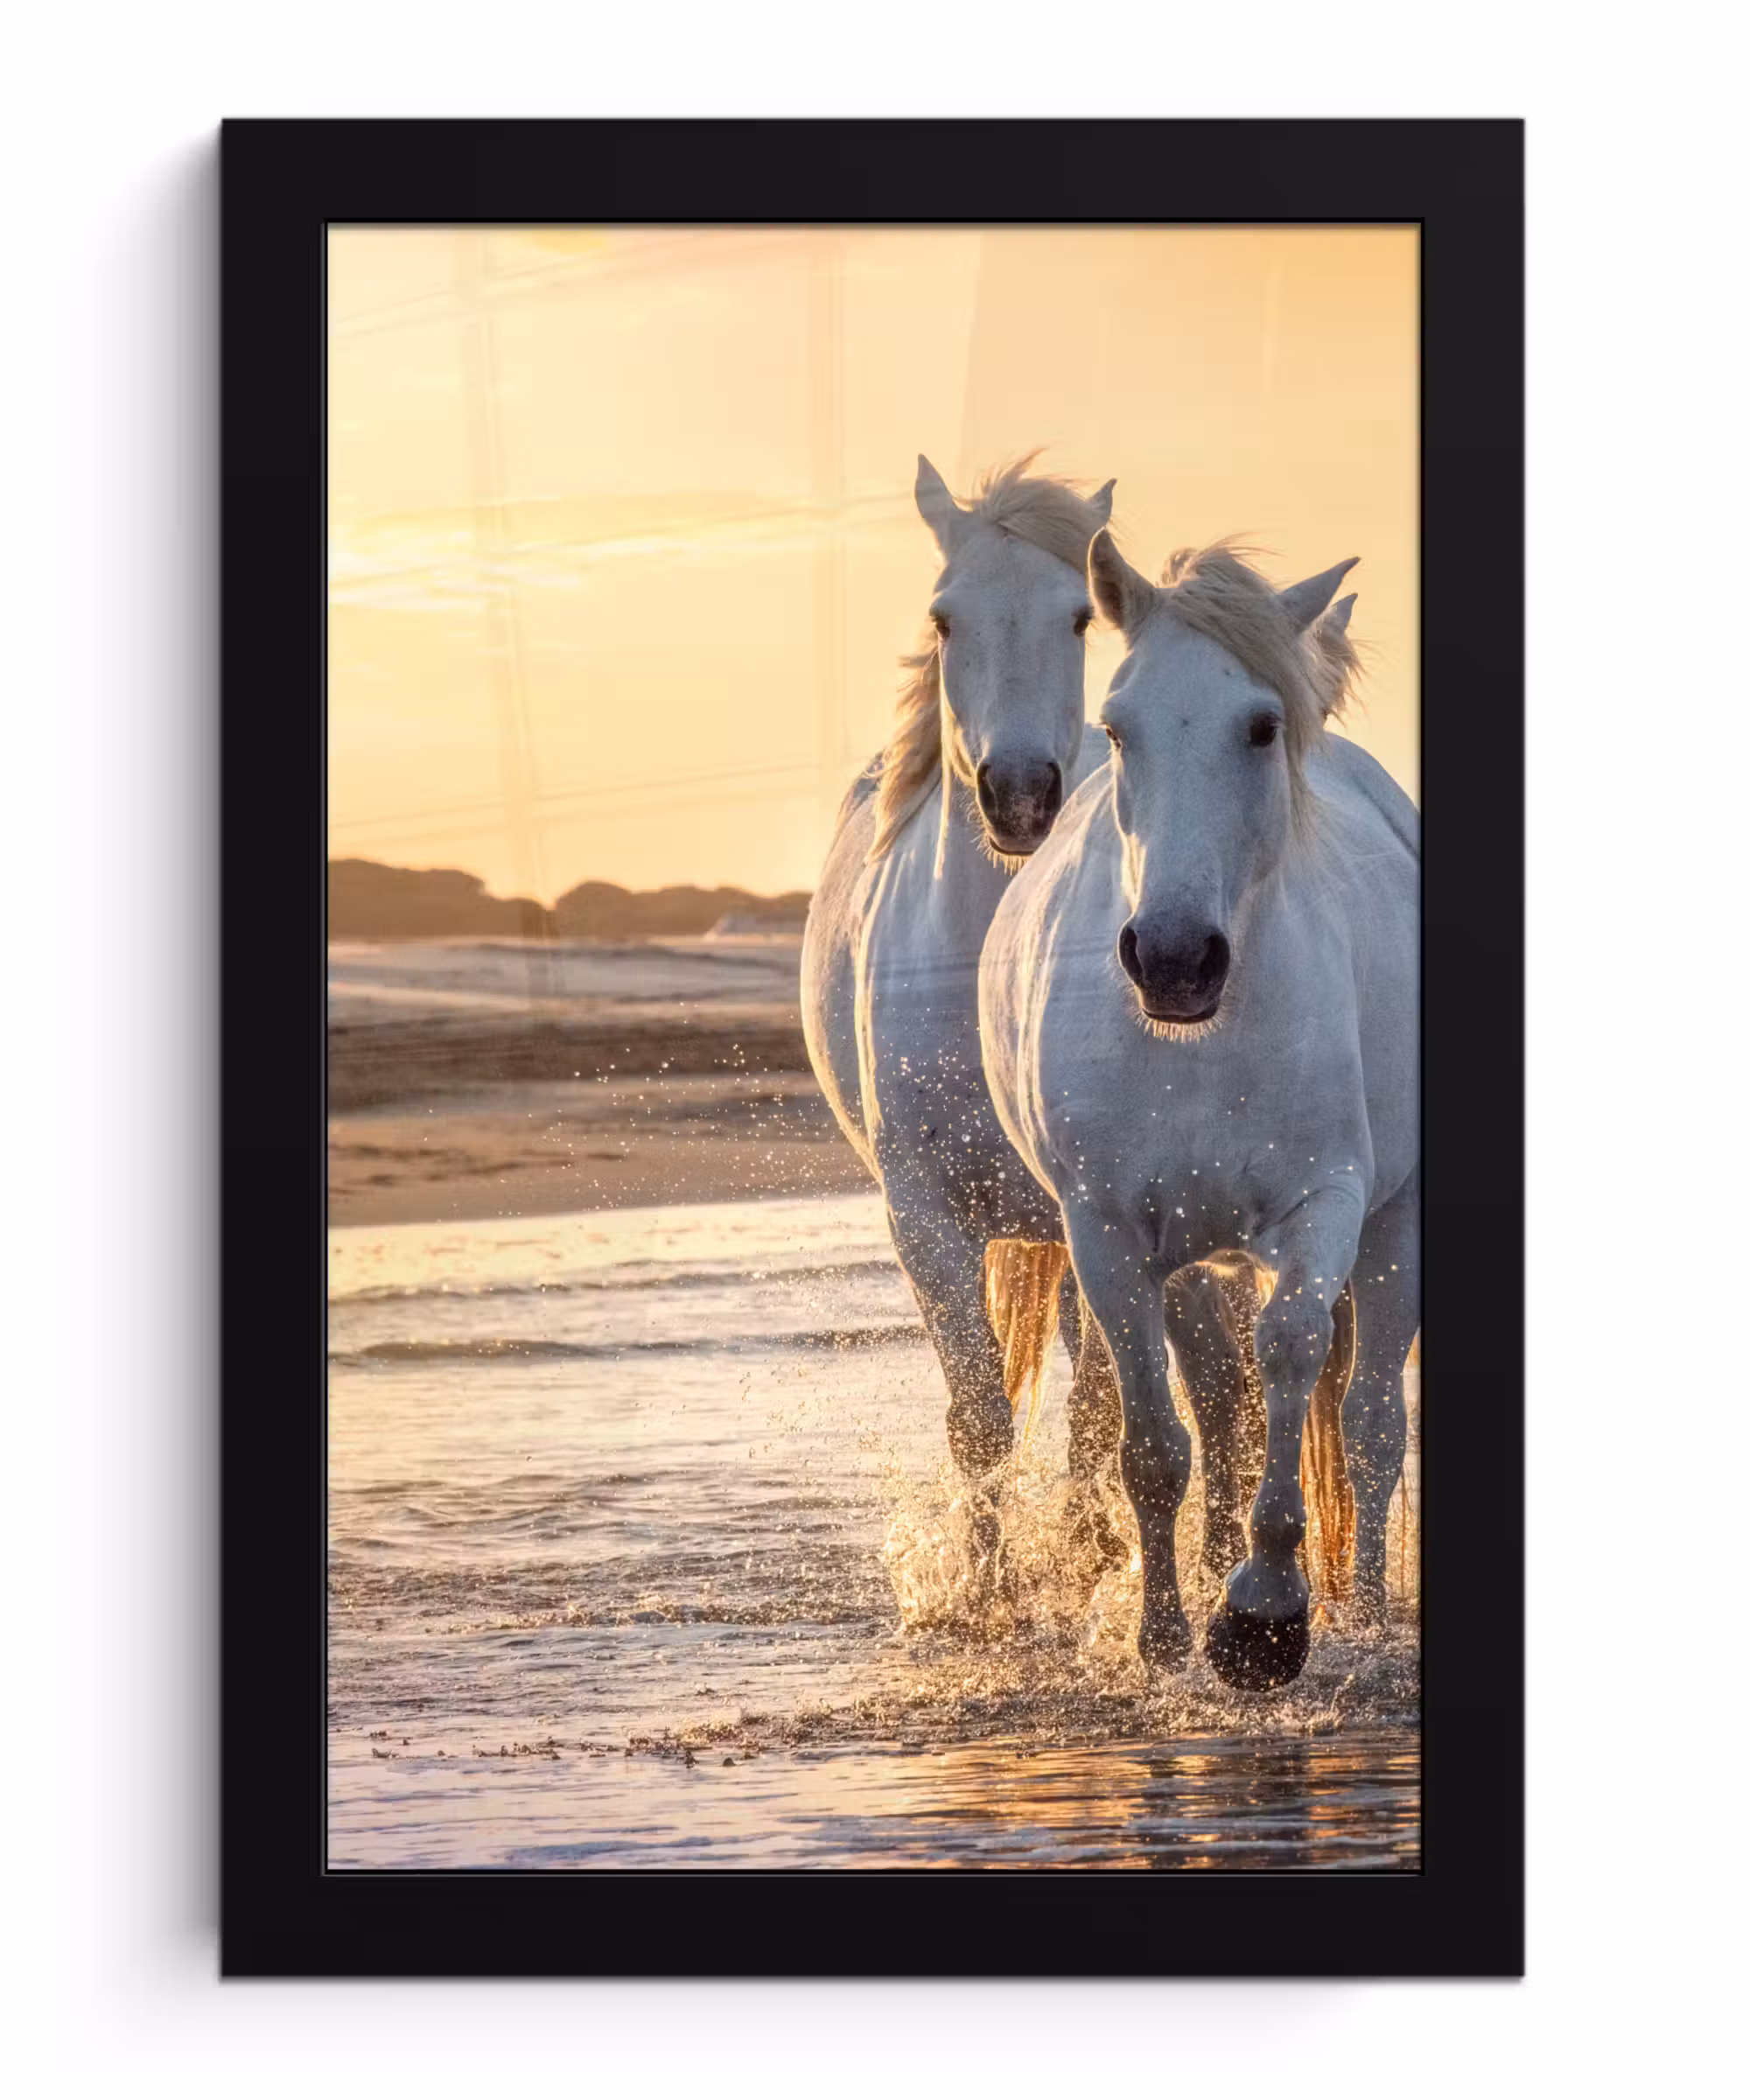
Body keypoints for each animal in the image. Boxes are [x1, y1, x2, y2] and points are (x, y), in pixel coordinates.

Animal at [800, 454, 1128, 1562]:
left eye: (1079, 617)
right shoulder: (923, 1222)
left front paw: (1086, 1565)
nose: (1021, 795)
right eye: (944, 618)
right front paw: (986, 1589)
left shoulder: (1093, 1219)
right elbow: (979, 1420)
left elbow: (1096, 1415)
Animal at [979, 532, 1419, 1688]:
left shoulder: (1324, 1206)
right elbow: (1152, 1444)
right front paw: (1167, 1634)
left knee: (1367, 1425)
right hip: (1188, 1257)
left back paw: (1366, 1612)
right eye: (1116, 727)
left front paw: (1264, 1614)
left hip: (1394, 1226)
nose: (1174, 960)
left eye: (1259, 725)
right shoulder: (1107, 1236)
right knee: (1216, 1412)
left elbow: (1291, 1357)